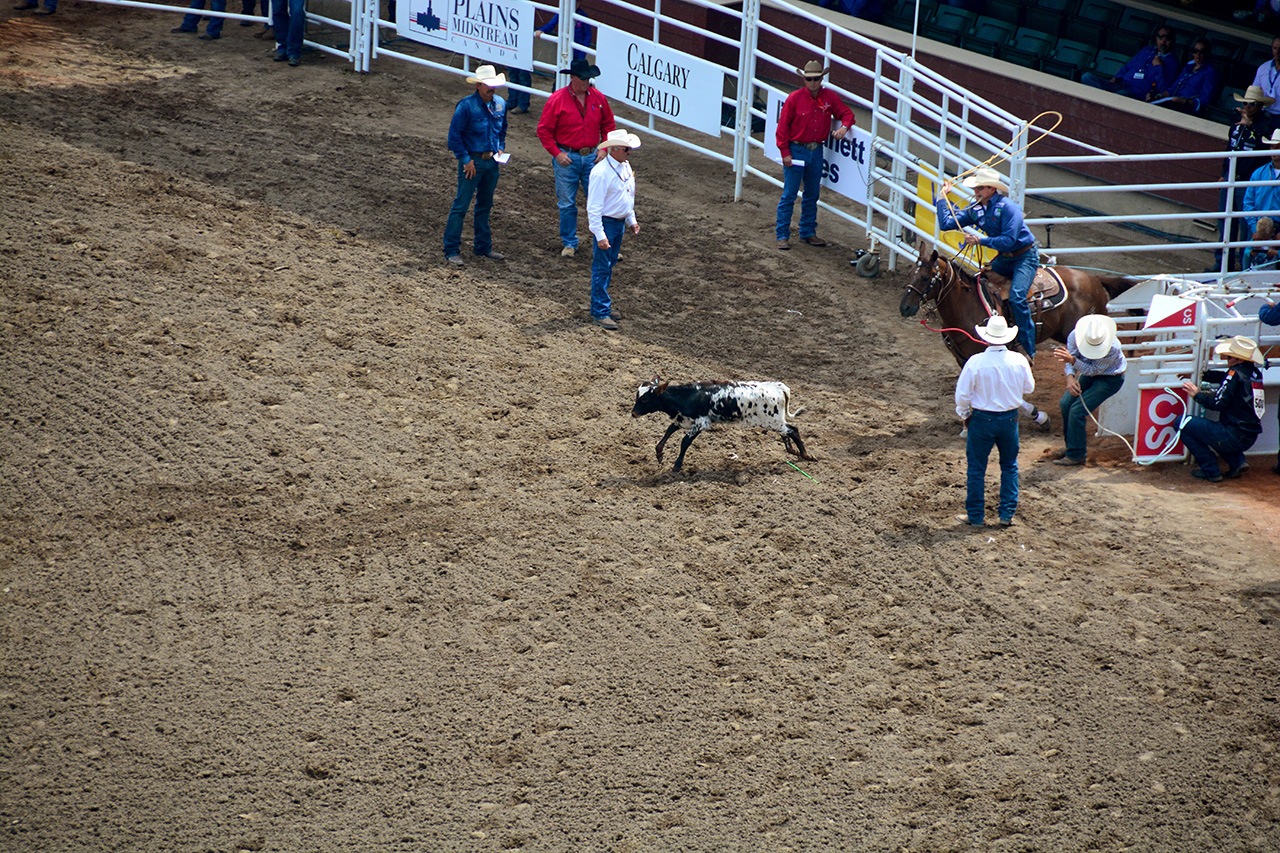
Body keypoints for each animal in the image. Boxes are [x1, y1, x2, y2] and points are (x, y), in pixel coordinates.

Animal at [634, 379, 814, 471]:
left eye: (645, 398)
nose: (633, 413)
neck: (689, 396)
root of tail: (777, 387)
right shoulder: (683, 419)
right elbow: (669, 430)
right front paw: (659, 453)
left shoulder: (701, 423)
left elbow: (685, 441)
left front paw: (677, 466)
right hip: (775, 421)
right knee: (786, 433)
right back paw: (793, 451)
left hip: (772, 421)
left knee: (793, 430)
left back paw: (806, 455)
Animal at [901, 245, 1141, 366]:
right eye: (911, 272)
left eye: (925, 278)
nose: (904, 307)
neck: (968, 309)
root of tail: (1095, 279)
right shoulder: (962, 358)